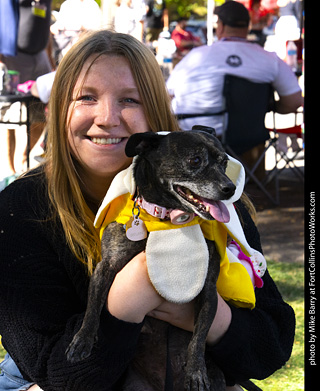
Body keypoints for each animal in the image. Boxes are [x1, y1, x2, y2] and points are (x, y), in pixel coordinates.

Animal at [65, 128, 262, 391]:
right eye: (195, 160)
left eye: (224, 163)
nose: (229, 188)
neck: (166, 219)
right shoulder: (105, 267)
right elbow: (93, 306)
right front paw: (82, 339)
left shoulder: (207, 289)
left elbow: (198, 339)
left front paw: (196, 372)